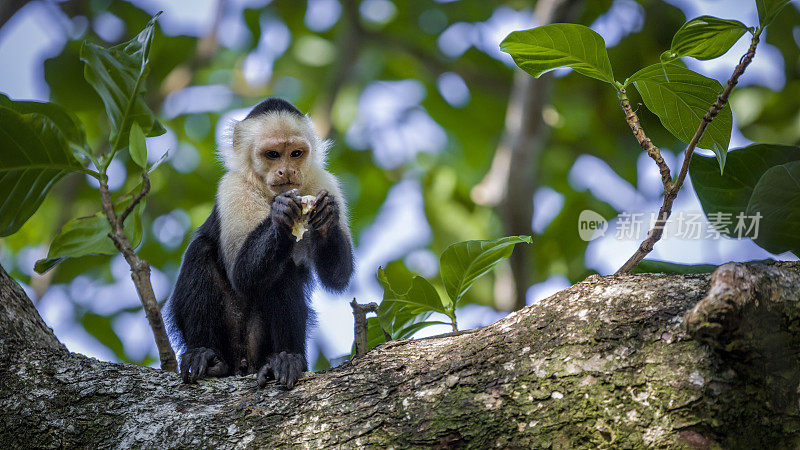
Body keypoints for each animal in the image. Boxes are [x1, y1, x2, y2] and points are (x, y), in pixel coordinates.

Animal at [168, 96, 354, 388]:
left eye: (296, 154)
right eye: (273, 155)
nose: (286, 171)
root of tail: (244, 362)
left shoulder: (324, 181)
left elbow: (338, 276)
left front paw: (326, 215)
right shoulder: (233, 187)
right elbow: (242, 274)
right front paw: (282, 217)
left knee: (284, 270)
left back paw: (284, 359)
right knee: (202, 251)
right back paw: (206, 357)